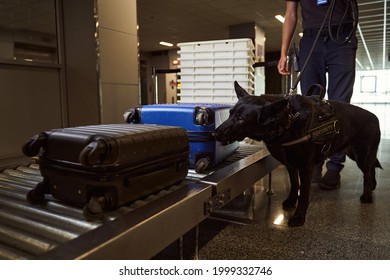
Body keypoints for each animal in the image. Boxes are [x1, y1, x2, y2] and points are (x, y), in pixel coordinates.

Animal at [213, 82, 380, 226]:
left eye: (241, 119)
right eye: (230, 114)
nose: (214, 134)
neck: (289, 119)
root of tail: (374, 117)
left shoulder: (306, 167)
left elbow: (304, 194)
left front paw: (299, 216)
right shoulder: (291, 165)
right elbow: (294, 184)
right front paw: (291, 201)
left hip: (362, 156)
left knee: (367, 174)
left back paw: (367, 195)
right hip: (356, 155)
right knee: (371, 169)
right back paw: (372, 187)